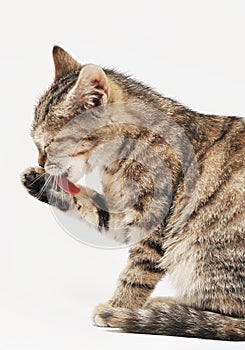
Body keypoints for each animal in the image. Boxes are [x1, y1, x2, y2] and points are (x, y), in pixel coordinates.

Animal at [21, 46, 245, 342]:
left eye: (50, 144)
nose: (42, 162)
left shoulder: (155, 223)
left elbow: (136, 274)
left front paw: (119, 306)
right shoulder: (124, 216)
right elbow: (92, 209)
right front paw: (41, 182)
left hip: (200, 251)